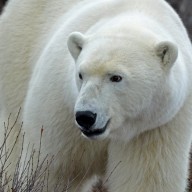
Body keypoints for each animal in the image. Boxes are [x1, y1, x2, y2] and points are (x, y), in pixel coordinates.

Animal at [0, 0, 192, 192]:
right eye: (81, 74)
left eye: (116, 77)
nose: (85, 116)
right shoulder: (60, 112)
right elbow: (52, 170)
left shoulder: (155, 128)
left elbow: (145, 179)